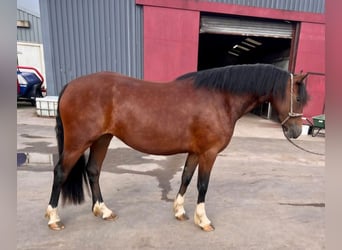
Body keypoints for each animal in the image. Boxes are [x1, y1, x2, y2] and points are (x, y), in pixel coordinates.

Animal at [44, 63, 308, 231]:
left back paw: (103, 211)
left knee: (93, 171)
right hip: (78, 143)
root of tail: (71, 85)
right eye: (297, 98)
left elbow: (186, 178)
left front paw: (180, 211)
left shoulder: (195, 152)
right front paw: (203, 220)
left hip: (102, 139)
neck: (220, 98)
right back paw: (53, 218)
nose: (296, 131)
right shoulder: (209, 153)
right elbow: (202, 185)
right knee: (60, 173)